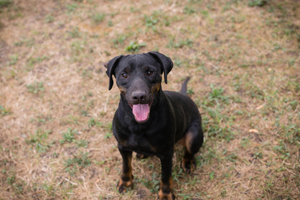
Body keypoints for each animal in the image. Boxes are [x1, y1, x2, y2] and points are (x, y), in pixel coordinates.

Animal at [103, 52, 204, 200]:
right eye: (124, 74)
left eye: (150, 72)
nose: (139, 96)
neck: (139, 125)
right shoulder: (122, 146)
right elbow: (126, 166)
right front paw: (126, 182)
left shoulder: (166, 153)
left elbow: (166, 177)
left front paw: (166, 194)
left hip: (193, 135)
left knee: (190, 149)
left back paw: (188, 162)